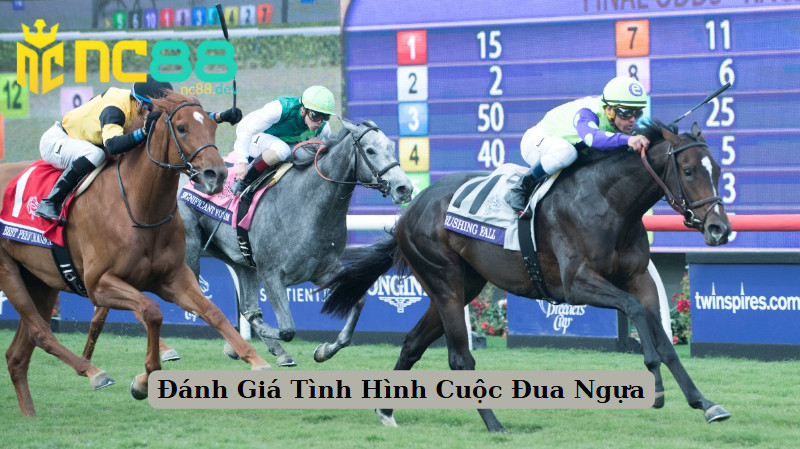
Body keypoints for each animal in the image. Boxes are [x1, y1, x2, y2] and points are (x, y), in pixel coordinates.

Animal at [0, 92, 271, 417]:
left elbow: (213, 312)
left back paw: (30, 414)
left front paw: (256, 360)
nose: (216, 174)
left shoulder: (172, 277)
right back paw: (93, 372)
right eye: (181, 128)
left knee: (18, 354)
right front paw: (144, 378)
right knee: (41, 333)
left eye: (211, 126)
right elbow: (151, 312)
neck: (139, 206)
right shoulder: (98, 284)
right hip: (10, 273)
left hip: (40, 282)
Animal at [82, 118, 414, 367]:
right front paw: (247, 341)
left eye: (391, 147)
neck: (308, 205)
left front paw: (324, 350)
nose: (404, 187)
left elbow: (357, 301)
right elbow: (286, 328)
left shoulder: (323, 270)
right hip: (189, 258)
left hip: (242, 263)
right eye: (370, 150)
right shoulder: (272, 273)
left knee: (243, 304)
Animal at [319, 120, 732, 432]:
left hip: (463, 285)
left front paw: (705, 403)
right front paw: (655, 384)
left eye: (718, 169)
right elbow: (634, 312)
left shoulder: (639, 278)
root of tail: (410, 208)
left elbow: (662, 337)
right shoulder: (576, 284)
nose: (719, 229)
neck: (608, 202)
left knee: (412, 343)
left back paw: (386, 410)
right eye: (689, 170)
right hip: (444, 280)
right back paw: (494, 425)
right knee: (459, 358)